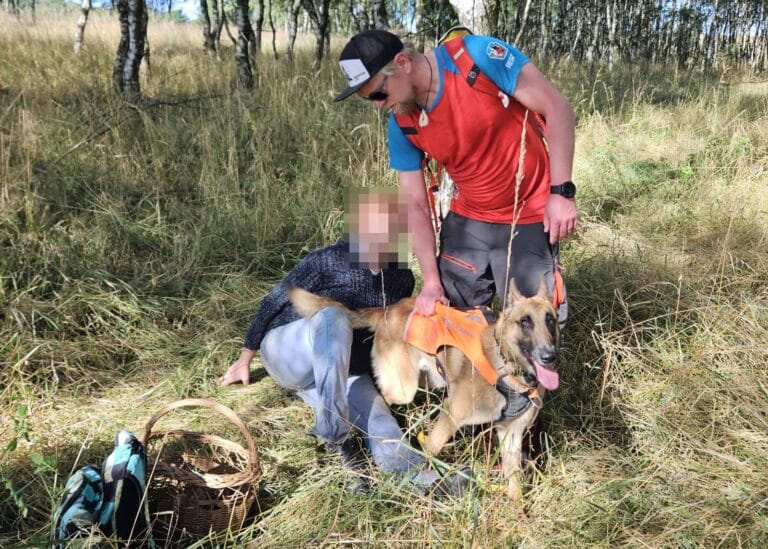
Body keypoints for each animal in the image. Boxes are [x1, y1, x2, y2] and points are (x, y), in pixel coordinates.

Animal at [288, 280, 560, 498]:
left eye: (550, 320)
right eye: (525, 322)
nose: (549, 356)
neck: (507, 370)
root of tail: (389, 309)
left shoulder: (511, 436)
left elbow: (513, 483)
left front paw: (517, 513)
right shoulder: (451, 416)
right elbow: (431, 452)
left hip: (430, 378)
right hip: (402, 388)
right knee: (379, 396)